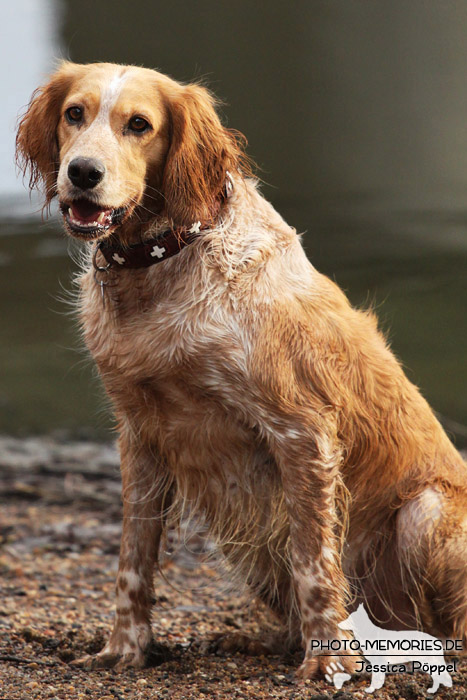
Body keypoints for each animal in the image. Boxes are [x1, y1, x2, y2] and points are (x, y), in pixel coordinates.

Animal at [16, 61, 466, 680]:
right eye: (74, 114)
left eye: (139, 124)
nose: (82, 172)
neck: (164, 261)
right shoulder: (139, 435)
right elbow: (133, 559)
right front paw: (125, 649)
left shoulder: (302, 433)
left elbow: (313, 561)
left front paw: (329, 661)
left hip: (425, 509)